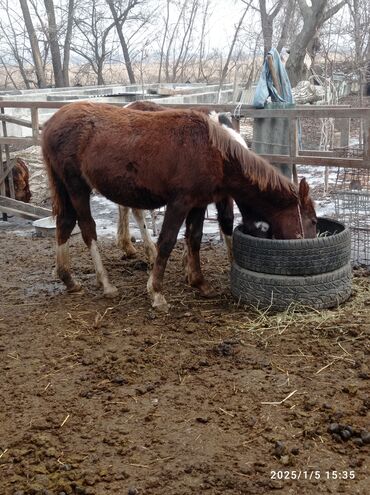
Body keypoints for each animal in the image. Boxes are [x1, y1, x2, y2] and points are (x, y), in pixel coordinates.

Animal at [42, 101, 316, 310]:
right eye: (312, 221)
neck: (213, 151)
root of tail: (52, 123)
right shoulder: (179, 203)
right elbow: (167, 241)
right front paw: (156, 292)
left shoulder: (198, 203)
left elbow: (194, 237)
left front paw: (199, 282)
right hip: (77, 188)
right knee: (87, 228)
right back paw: (106, 283)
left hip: (66, 188)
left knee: (64, 223)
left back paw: (68, 279)